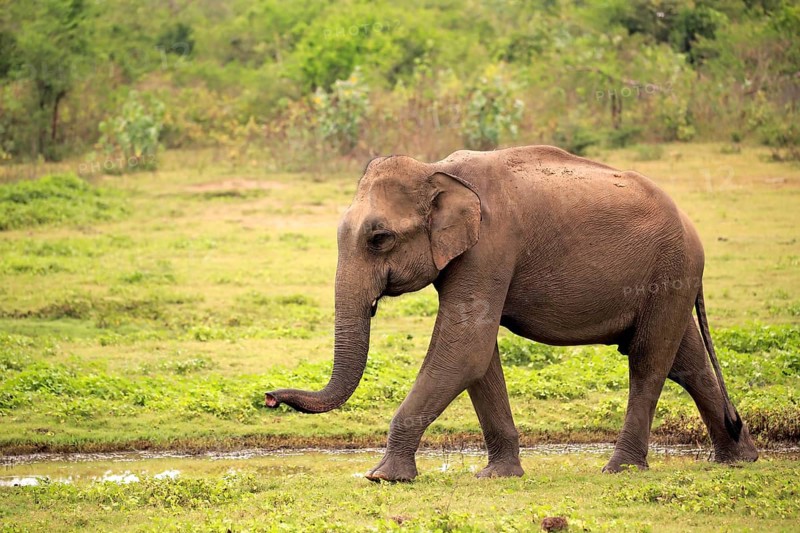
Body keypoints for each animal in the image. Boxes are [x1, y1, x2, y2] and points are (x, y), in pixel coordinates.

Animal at [265, 145, 759, 481]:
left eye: (379, 238)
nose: (270, 397)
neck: (437, 170)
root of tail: (690, 226)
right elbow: (479, 358)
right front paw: (497, 476)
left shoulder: (491, 246)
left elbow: (465, 346)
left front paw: (382, 477)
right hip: (670, 279)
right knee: (686, 362)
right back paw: (740, 458)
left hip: (671, 269)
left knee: (648, 361)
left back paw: (619, 469)